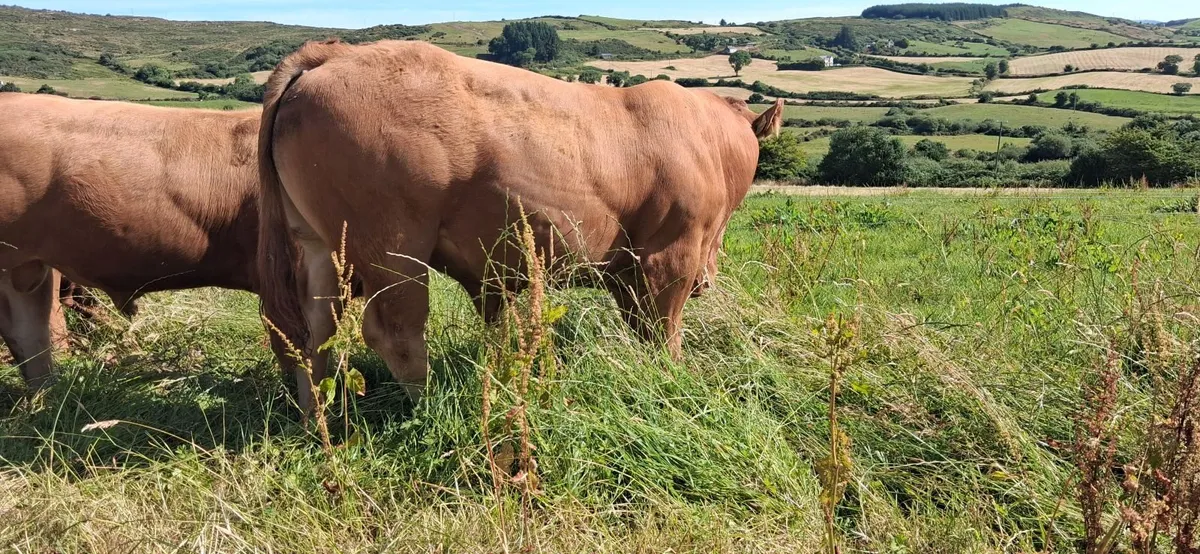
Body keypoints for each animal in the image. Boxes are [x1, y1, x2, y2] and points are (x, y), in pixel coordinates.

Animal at [256, 39, 783, 402]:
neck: (713, 142)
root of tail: (332, 55)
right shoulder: (669, 255)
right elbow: (662, 331)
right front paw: (672, 378)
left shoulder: (626, 267)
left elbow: (639, 324)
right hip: (393, 245)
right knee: (395, 332)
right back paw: (431, 404)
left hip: (318, 247)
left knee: (313, 333)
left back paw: (316, 419)